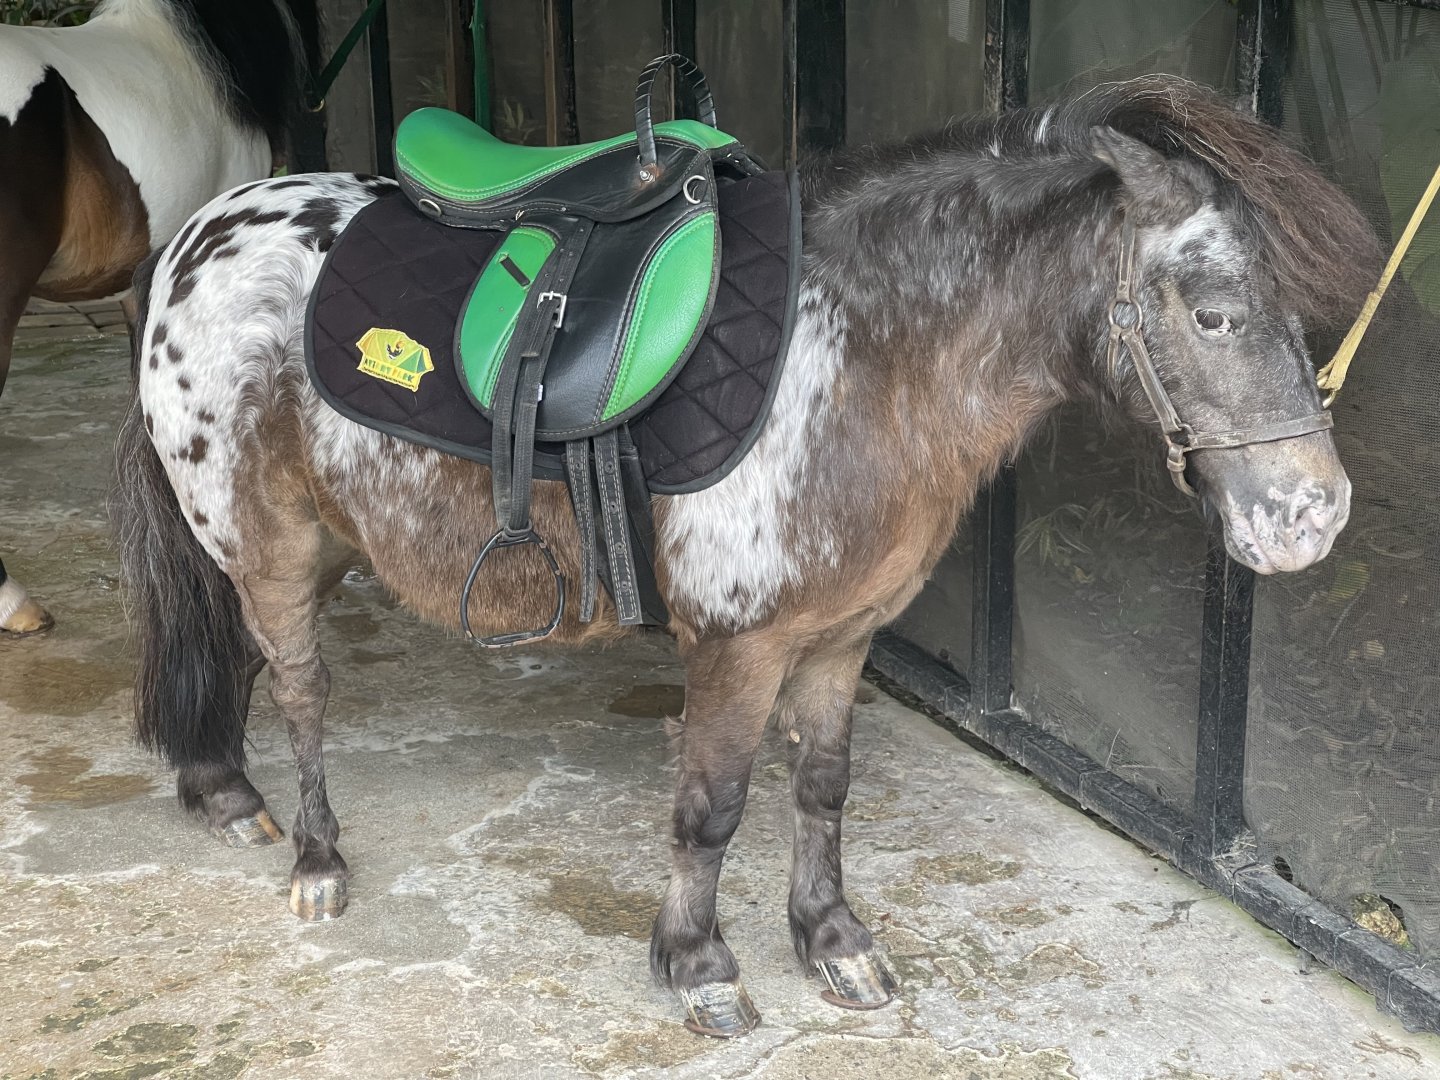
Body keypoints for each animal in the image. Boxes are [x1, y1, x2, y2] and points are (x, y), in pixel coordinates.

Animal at [111, 77, 1378, 1036]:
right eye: (1214, 314)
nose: (1311, 516)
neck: (864, 354)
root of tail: (197, 235)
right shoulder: (739, 643)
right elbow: (711, 809)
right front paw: (699, 966)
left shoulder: (841, 636)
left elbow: (821, 788)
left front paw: (832, 940)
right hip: (268, 543)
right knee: (302, 688)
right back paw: (314, 857)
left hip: (321, 539)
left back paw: (221, 788)